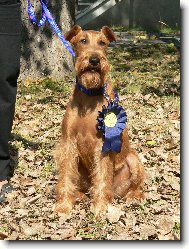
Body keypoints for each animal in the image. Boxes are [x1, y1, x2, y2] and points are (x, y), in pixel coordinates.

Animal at [54, 24, 145, 217]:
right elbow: (66, 175)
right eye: (83, 41)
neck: (90, 96)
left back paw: (133, 196)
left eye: (102, 43)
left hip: (133, 159)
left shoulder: (103, 144)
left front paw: (101, 207)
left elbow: (102, 176)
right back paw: (78, 195)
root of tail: (117, 191)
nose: (95, 59)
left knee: (135, 186)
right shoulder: (68, 143)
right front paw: (64, 205)